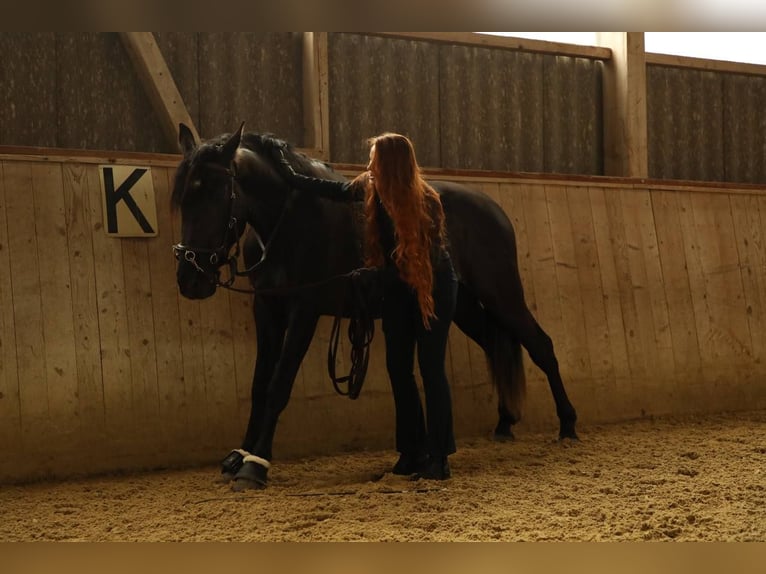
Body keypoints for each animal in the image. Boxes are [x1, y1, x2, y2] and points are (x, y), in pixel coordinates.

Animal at [171, 123, 578, 489]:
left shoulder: (305, 309)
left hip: (501, 294)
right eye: (183, 199)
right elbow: (259, 385)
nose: (190, 279)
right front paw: (239, 455)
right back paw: (504, 423)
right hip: (462, 307)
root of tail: (493, 209)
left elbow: (278, 385)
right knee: (495, 343)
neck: (288, 225)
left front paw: (255, 466)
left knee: (541, 346)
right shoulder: (267, 309)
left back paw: (568, 425)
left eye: (217, 193)